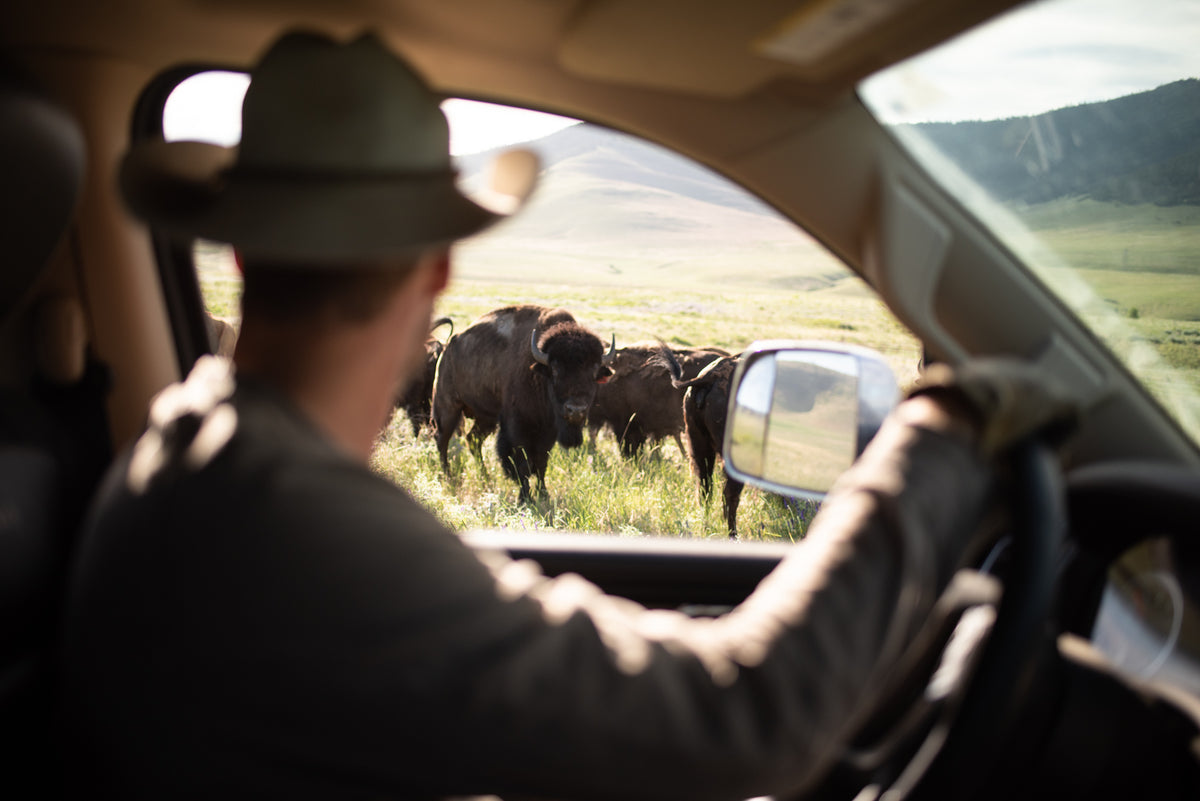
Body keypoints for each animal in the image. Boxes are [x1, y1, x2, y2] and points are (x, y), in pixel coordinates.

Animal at [432, 304, 614, 501]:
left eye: (594, 371)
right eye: (555, 369)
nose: (576, 410)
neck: (539, 373)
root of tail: (448, 347)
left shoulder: (548, 431)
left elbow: (541, 462)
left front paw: (543, 494)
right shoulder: (517, 427)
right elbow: (523, 462)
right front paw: (525, 497)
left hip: (485, 417)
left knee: (473, 440)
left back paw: (486, 479)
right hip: (449, 408)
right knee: (442, 440)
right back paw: (449, 478)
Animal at [657, 345, 739, 537]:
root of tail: (710, 376)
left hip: (698, 444)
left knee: (704, 487)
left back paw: (705, 524)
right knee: (728, 495)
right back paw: (732, 534)